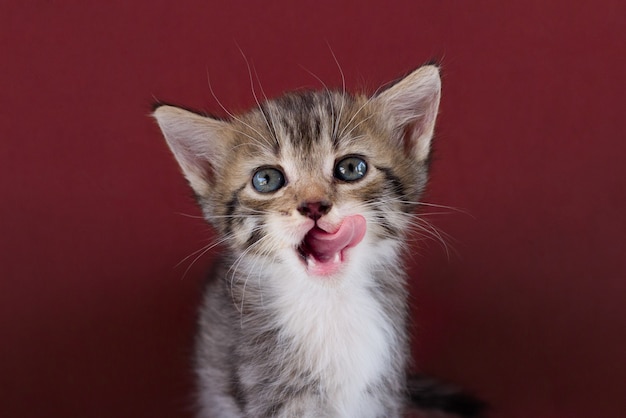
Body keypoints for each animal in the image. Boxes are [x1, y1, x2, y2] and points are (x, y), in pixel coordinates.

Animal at [152, 65, 482, 418]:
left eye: (351, 168)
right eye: (266, 179)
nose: (313, 206)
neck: (329, 302)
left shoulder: (382, 390)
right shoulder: (270, 389)